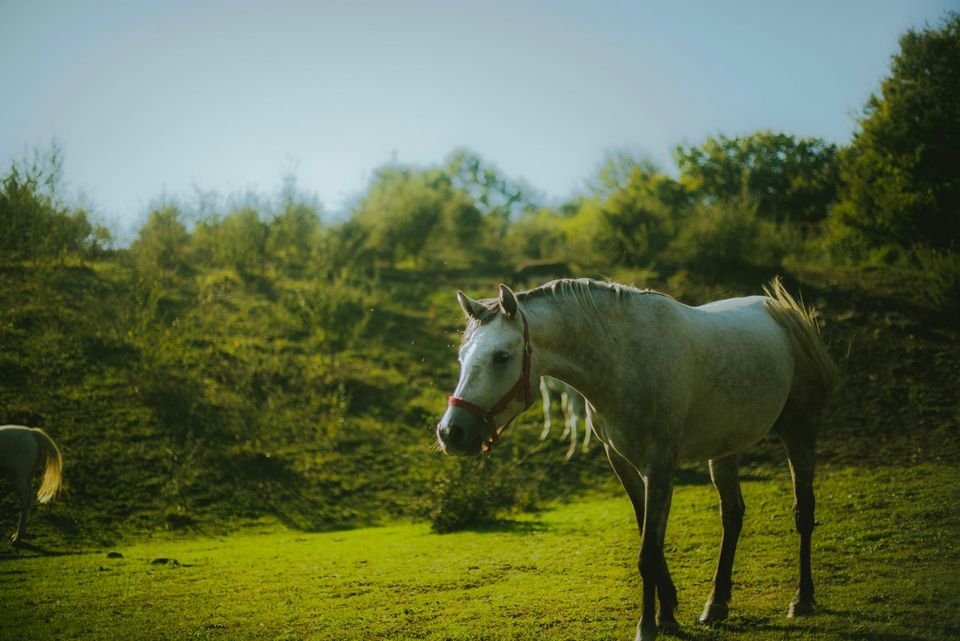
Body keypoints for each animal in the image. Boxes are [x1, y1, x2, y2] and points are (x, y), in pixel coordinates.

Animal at [436, 278, 835, 641]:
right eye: (461, 356)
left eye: (501, 356)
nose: (451, 432)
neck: (623, 358)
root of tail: (780, 310)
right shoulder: (623, 463)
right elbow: (650, 541)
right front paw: (667, 614)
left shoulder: (658, 467)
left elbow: (647, 552)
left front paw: (648, 626)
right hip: (726, 449)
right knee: (732, 516)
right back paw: (716, 605)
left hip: (798, 432)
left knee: (803, 511)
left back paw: (802, 600)